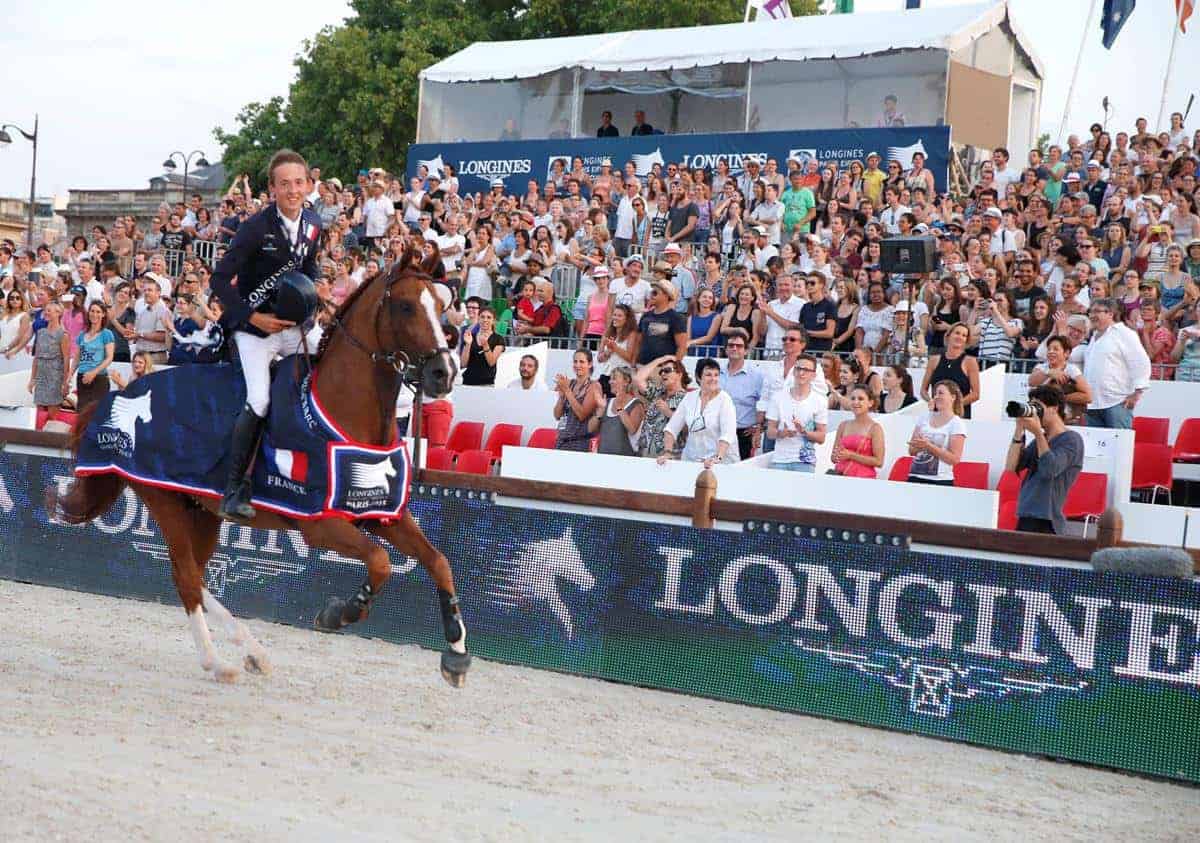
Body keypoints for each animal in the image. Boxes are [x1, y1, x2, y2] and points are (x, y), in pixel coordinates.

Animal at [52, 249, 472, 686]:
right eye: (406, 306)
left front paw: (456, 656)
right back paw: (218, 662)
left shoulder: (382, 514)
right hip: (165, 501)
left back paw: (252, 650)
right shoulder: (319, 524)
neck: (341, 412)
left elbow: (439, 562)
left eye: (443, 306)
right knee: (186, 577)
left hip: (201, 511)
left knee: (196, 574)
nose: (443, 374)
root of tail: (117, 396)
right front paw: (340, 613)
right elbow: (381, 561)